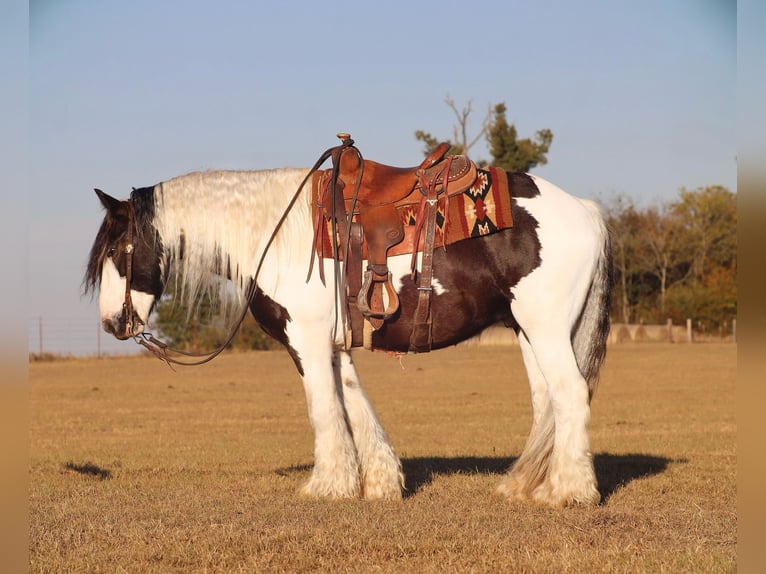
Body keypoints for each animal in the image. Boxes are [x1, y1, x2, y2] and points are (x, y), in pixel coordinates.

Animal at [82, 143, 612, 508]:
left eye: (116, 251)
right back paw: (524, 485)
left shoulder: (306, 341)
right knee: (546, 403)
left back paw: (567, 491)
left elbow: (324, 408)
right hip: (529, 331)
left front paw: (326, 484)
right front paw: (379, 482)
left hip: (545, 329)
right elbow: (354, 404)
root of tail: (585, 209)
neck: (273, 234)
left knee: (569, 394)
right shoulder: (336, 346)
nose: (112, 322)